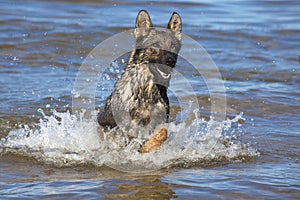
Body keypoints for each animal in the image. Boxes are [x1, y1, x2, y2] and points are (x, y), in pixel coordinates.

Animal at [99, 9, 183, 153]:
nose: (170, 61)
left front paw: (148, 146)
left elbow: (163, 132)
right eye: (156, 45)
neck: (147, 92)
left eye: (173, 46)